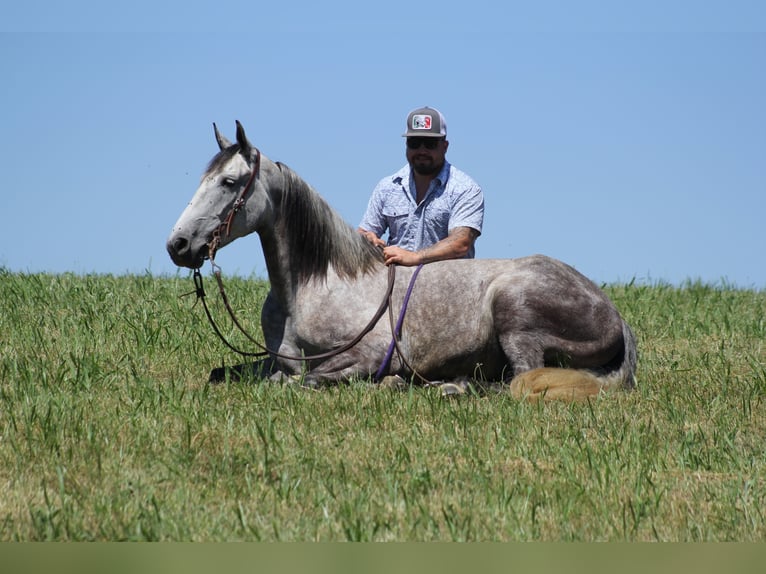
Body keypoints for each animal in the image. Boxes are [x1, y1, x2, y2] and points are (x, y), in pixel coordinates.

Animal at [168, 121, 640, 400]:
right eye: (205, 178)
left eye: (230, 182)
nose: (178, 244)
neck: (313, 287)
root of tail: (615, 316)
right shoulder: (274, 358)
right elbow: (230, 373)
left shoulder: (364, 356)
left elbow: (306, 380)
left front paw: (390, 381)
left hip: (515, 313)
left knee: (517, 381)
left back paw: (450, 387)